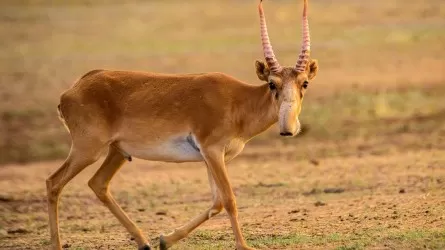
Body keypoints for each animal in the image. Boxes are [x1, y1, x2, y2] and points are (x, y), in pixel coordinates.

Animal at [45, 0, 318, 250]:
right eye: (272, 83)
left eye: (304, 83)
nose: (288, 129)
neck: (239, 100)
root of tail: (73, 90)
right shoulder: (212, 151)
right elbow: (229, 199)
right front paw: (244, 246)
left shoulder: (214, 158)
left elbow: (217, 202)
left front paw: (165, 239)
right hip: (88, 150)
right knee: (53, 183)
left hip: (117, 152)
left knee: (98, 184)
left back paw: (144, 242)